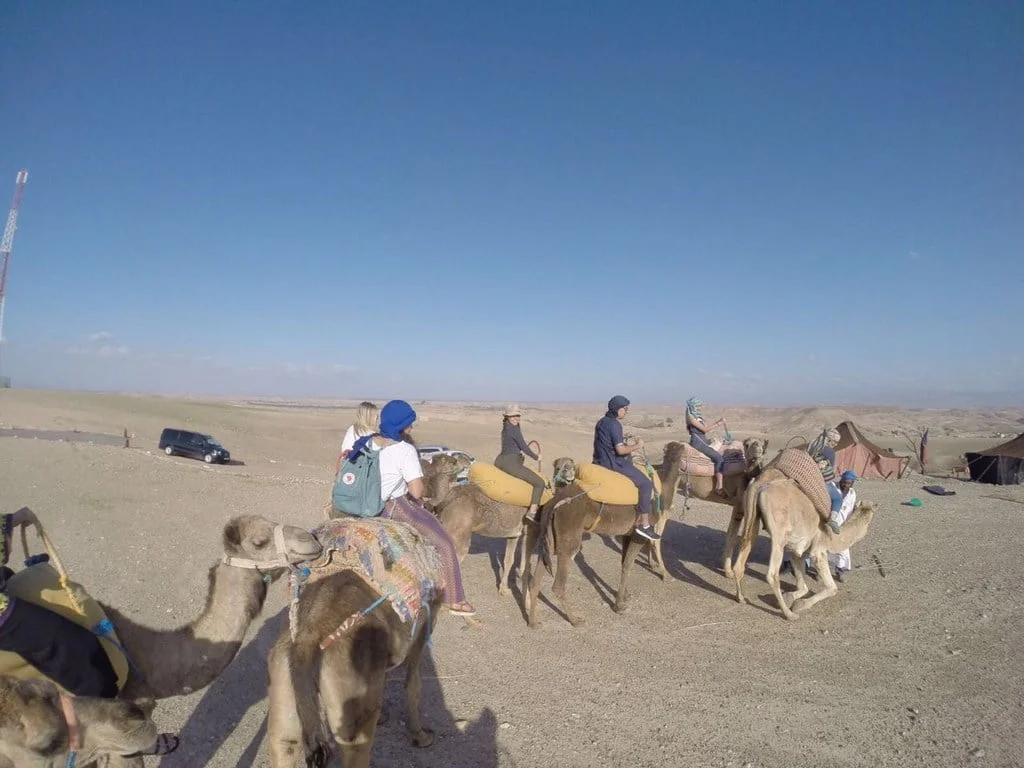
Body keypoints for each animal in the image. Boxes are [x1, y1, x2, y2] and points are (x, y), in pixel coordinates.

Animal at [730, 467, 879, 619]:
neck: (834, 538)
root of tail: (761, 485)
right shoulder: (818, 551)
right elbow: (832, 588)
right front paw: (799, 605)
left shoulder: (797, 552)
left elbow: (804, 587)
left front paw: (789, 597)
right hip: (780, 532)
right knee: (772, 574)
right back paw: (789, 614)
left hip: (752, 515)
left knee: (741, 559)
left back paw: (741, 598)